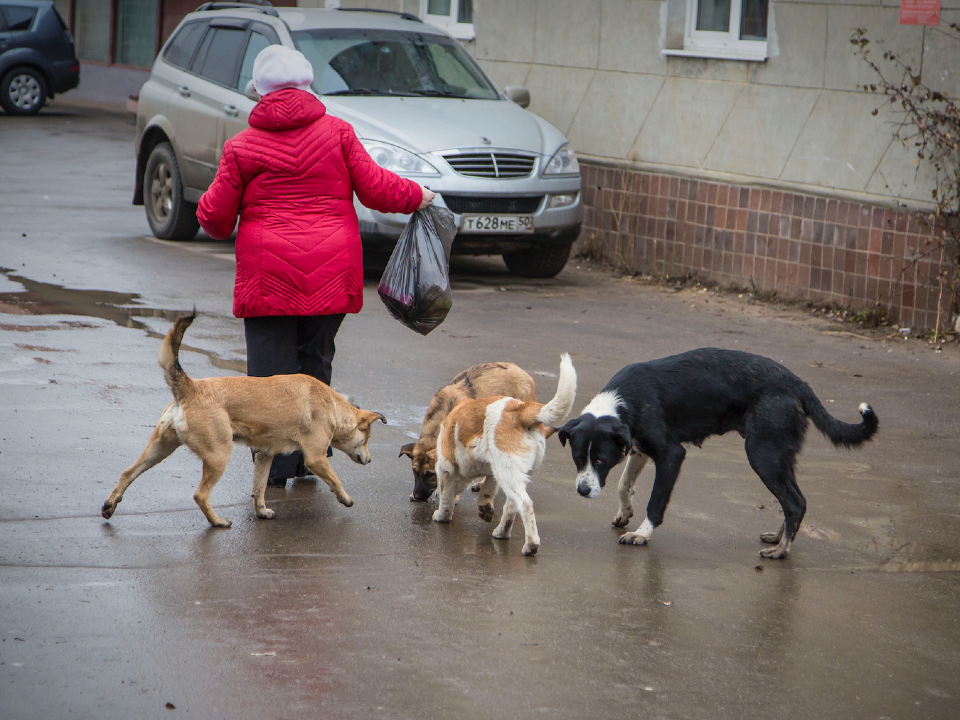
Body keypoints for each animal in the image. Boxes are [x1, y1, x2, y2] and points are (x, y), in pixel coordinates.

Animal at [103, 312, 388, 524]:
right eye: (366, 439)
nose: (370, 460)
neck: (332, 406)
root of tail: (190, 387)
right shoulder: (316, 458)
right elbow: (335, 479)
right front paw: (345, 498)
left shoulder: (264, 454)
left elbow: (259, 487)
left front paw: (261, 511)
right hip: (218, 455)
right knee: (200, 495)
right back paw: (217, 522)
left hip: (160, 448)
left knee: (128, 472)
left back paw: (109, 505)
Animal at [430, 356, 576, 556]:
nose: (433, 494)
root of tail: (521, 410)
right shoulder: (492, 471)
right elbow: (487, 490)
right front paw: (484, 508)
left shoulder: (446, 468)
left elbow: (446, 497)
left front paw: (442, 515)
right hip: (510, 473)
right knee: (512, 505)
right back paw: (501, 532)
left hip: (507, 472)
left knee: (525, 504)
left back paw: (531, 545)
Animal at [556, 346, 876, 560]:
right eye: (577, 458)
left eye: (600, 460)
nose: (583, 491)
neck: (624, 401)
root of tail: (798, 383)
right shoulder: (639, 448)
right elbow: (624, 485)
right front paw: (624, 513)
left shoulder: (671, 455)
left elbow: (655, 503)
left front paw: (642, 534)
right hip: (779, 455)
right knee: (793, 500)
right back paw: (779, 538)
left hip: (762, 454)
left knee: (795, 502)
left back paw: (781, 551)